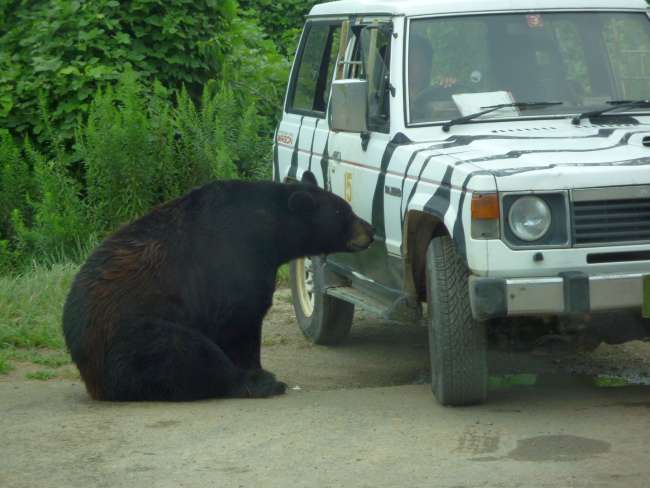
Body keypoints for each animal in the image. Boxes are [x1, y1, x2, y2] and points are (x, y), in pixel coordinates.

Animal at [63, 179, 372, 400]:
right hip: (134, 339)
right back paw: (261, 383)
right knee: (185, 352)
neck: (268, 231)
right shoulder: (233, 261)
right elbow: (240, 320)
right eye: (343, 212)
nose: (370, 230)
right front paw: (255, 369)